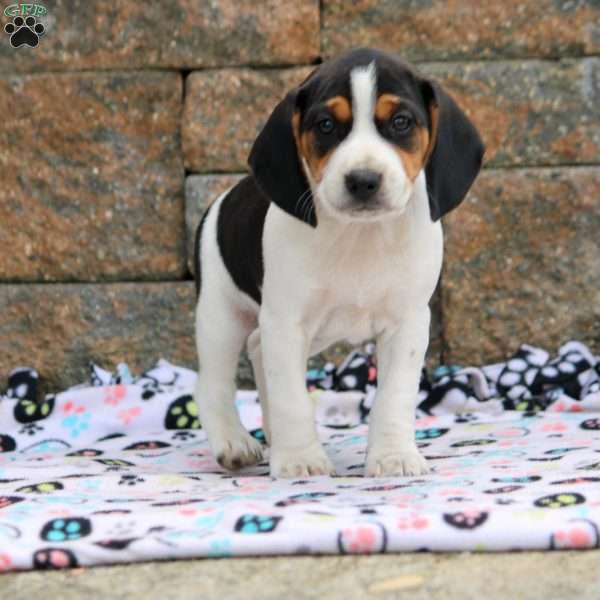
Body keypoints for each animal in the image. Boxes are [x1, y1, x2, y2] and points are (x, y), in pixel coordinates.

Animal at [195, 48, 486, 478]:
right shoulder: (287, 322)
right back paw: (234, 442)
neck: (360, 235)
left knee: (259, 351)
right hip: (220, 317)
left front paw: (393, 456)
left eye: (401, 122)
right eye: (327, 125)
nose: (363, 180)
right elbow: (292, 399)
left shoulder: (408, 323)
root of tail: (224, 197)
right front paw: (300, 460)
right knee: (212, 384)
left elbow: (394, 397)